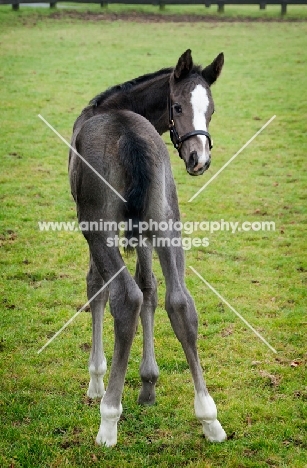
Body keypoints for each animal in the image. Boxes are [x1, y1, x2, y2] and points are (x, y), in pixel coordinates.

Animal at [70, 48, 226, 446]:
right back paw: (209, 418)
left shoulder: (97, 228)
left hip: (97, 228)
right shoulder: (142, 230)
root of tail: (129, 136)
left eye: (210, 110)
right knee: (180, 301)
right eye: (178, 106)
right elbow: (152, 289)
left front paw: (96, 380)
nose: (199, 160)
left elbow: (98, 288)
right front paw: (148, 383)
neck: (116, 106)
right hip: (167, 221)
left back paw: (109, 417)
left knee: (125, 298)